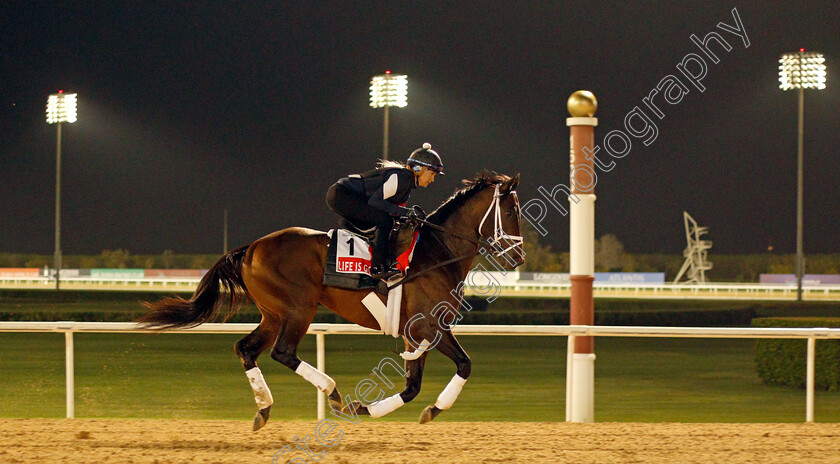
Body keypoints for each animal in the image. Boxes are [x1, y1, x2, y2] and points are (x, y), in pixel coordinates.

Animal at [140, 171, 520, 432]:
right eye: (511, 211)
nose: (518, 257)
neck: (437, 252)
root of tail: (250, 249)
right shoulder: (429, 326)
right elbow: (463, 365)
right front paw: (430, 408)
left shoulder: (416, 333)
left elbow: (413, 386)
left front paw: (371, 409)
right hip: (299, 308)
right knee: (282, 352)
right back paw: (332, 392)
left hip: (272, 314)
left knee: (246, 349)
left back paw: (264, 409)